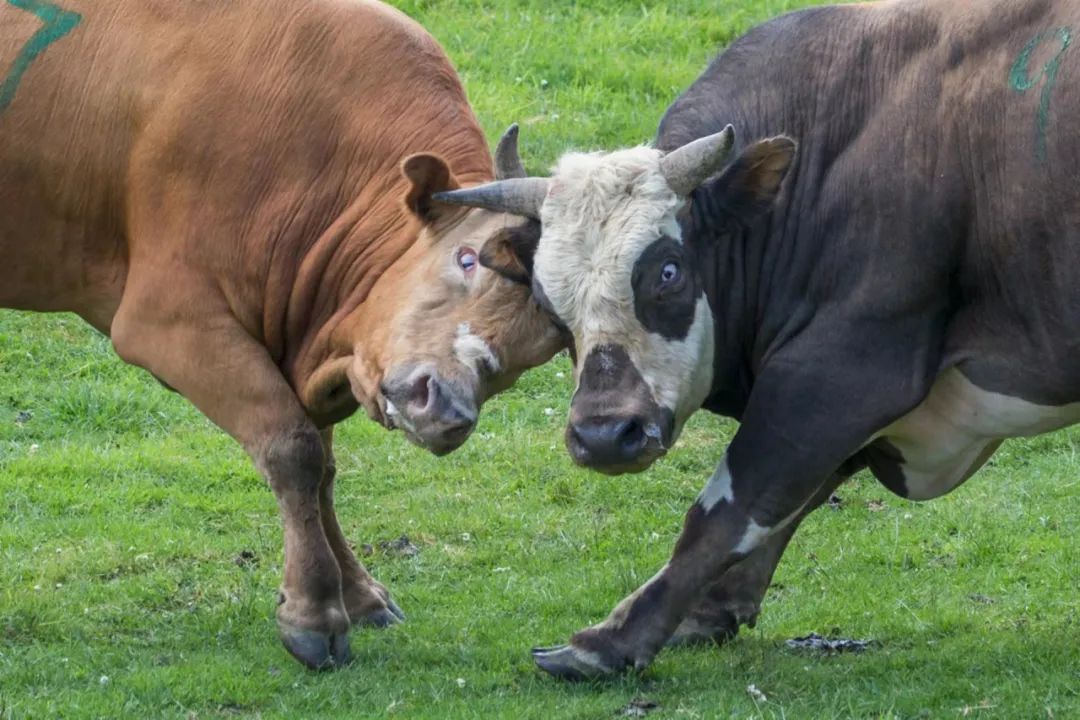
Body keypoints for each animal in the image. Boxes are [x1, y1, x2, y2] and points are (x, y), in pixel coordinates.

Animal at [0, 0, 557, 669]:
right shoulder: (170, 321)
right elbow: (294, 450)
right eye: (468, 258)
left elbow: (323, 469)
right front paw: (314, 613)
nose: (446, 410)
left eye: (541, 348)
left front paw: (358, 594)